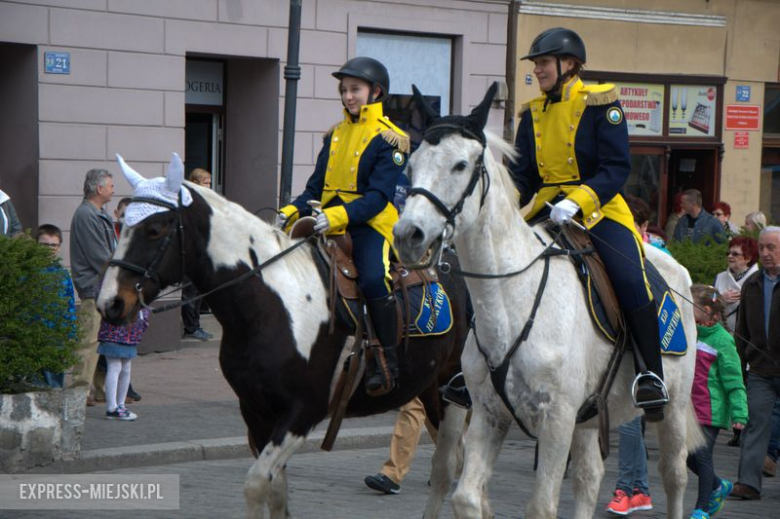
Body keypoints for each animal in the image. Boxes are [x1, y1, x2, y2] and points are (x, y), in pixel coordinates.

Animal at [94, 156, 466, 519]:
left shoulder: (302, 413)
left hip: (455, 390)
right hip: (429, 389)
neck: (270, 304)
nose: (110, 303)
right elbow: (276, 495)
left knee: (447, 468)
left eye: (155, 229)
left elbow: (256, 484)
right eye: (122, 223)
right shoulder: (256, 413)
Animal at [394, 87, 704, 516]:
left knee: (674, 476)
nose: (408, 235)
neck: (512, 302)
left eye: (460, 165)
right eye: (411, 167)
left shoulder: (556, 420)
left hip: (671, 409)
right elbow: (467, 497)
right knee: (589, 478)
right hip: (589, 419)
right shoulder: (489, 413)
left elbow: (540, 506)